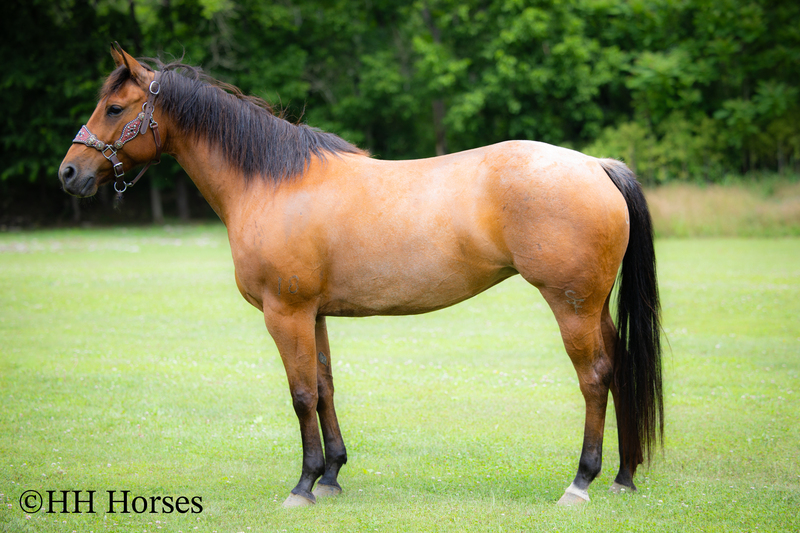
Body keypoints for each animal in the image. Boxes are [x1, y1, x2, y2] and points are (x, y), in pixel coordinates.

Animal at [59, 44, 663, 508]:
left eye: (115, 107)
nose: (69, 172)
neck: (273, 182)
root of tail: (596, 165)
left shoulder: (286, 314)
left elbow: (301, 393)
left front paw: (303, 485)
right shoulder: (313, 314)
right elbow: (325, 387)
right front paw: (330, 475)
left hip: (571, 305)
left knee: (595, 377)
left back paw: (581, 482)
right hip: (592, 305)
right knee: (620, 367)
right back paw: (622, 477)